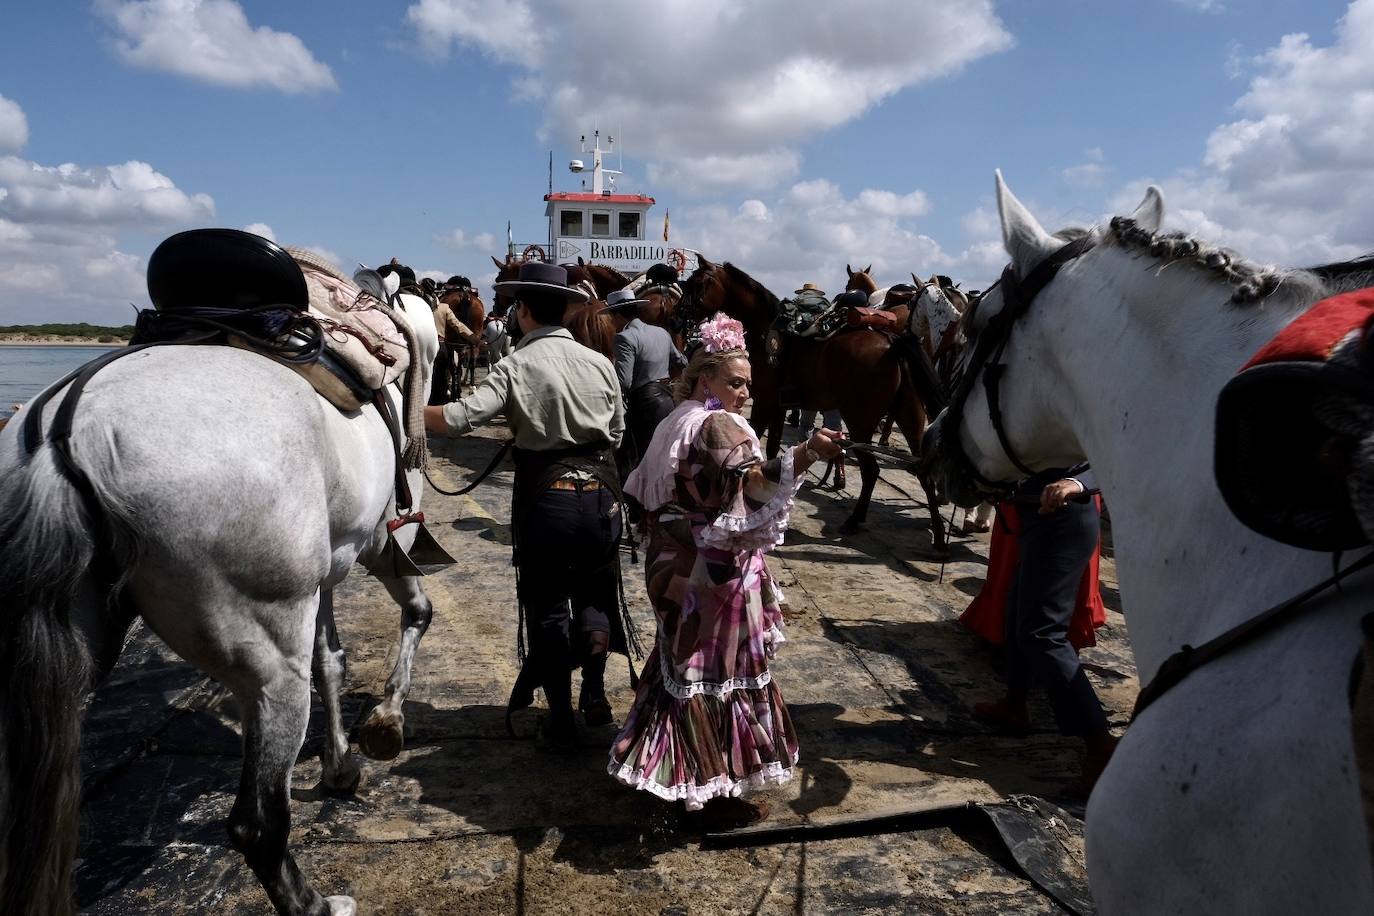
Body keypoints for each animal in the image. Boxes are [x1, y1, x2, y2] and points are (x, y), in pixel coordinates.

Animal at [0, 259, 439, 916]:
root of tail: (66, 433)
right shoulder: (383, 543)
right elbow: (416, 611)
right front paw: (384, 723)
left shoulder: (323, 576)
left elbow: (330, 660)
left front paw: (340, 764)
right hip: (269, 667)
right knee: (257, 825)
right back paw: (315, 904)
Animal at [684, 254, 945, 549]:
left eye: (698, 284)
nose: (681, 315)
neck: (766, 332)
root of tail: (892, 340)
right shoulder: (778, 407)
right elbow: (772, 446)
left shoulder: (764, 402)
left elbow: (755, 441)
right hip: (910, 418)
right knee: (924, 472)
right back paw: (938, 537)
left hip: (860, 421)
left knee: (871, 471)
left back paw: (854, 520)